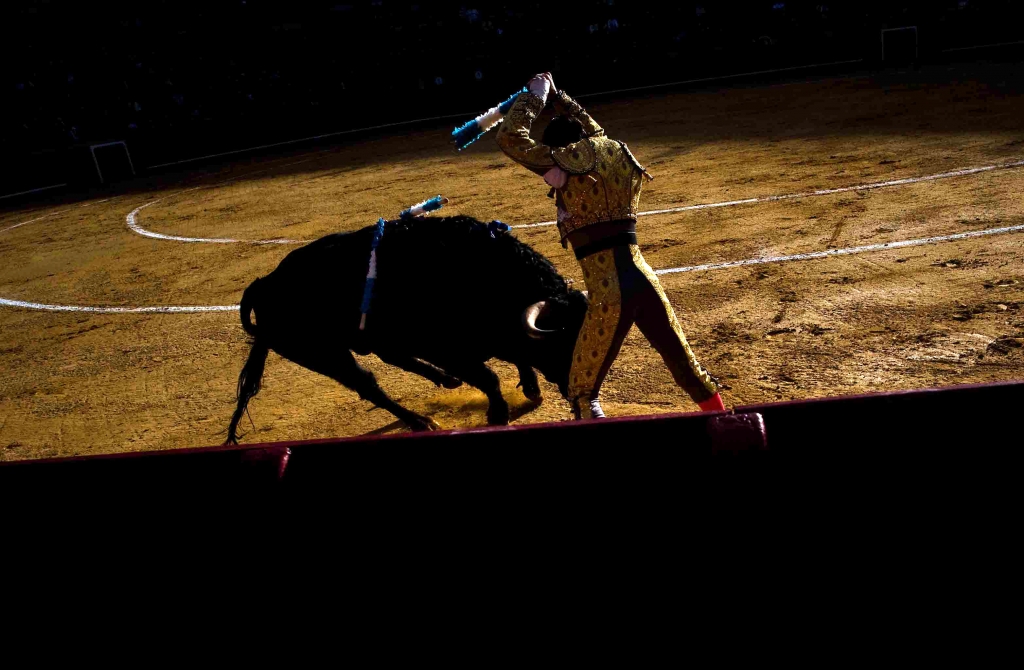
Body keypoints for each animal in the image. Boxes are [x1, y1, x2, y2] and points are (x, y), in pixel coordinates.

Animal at [227, 218, 589, 444]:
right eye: (560, 346)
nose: (577, 391)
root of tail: (266, 283)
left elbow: (515, 357)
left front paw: (531, 388)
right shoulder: (446, 348)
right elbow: (489, 377)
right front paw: (498, 414)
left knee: (392, 360)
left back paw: (446, 382)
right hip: (324, 355)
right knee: (369, 385)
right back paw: (421, 422)